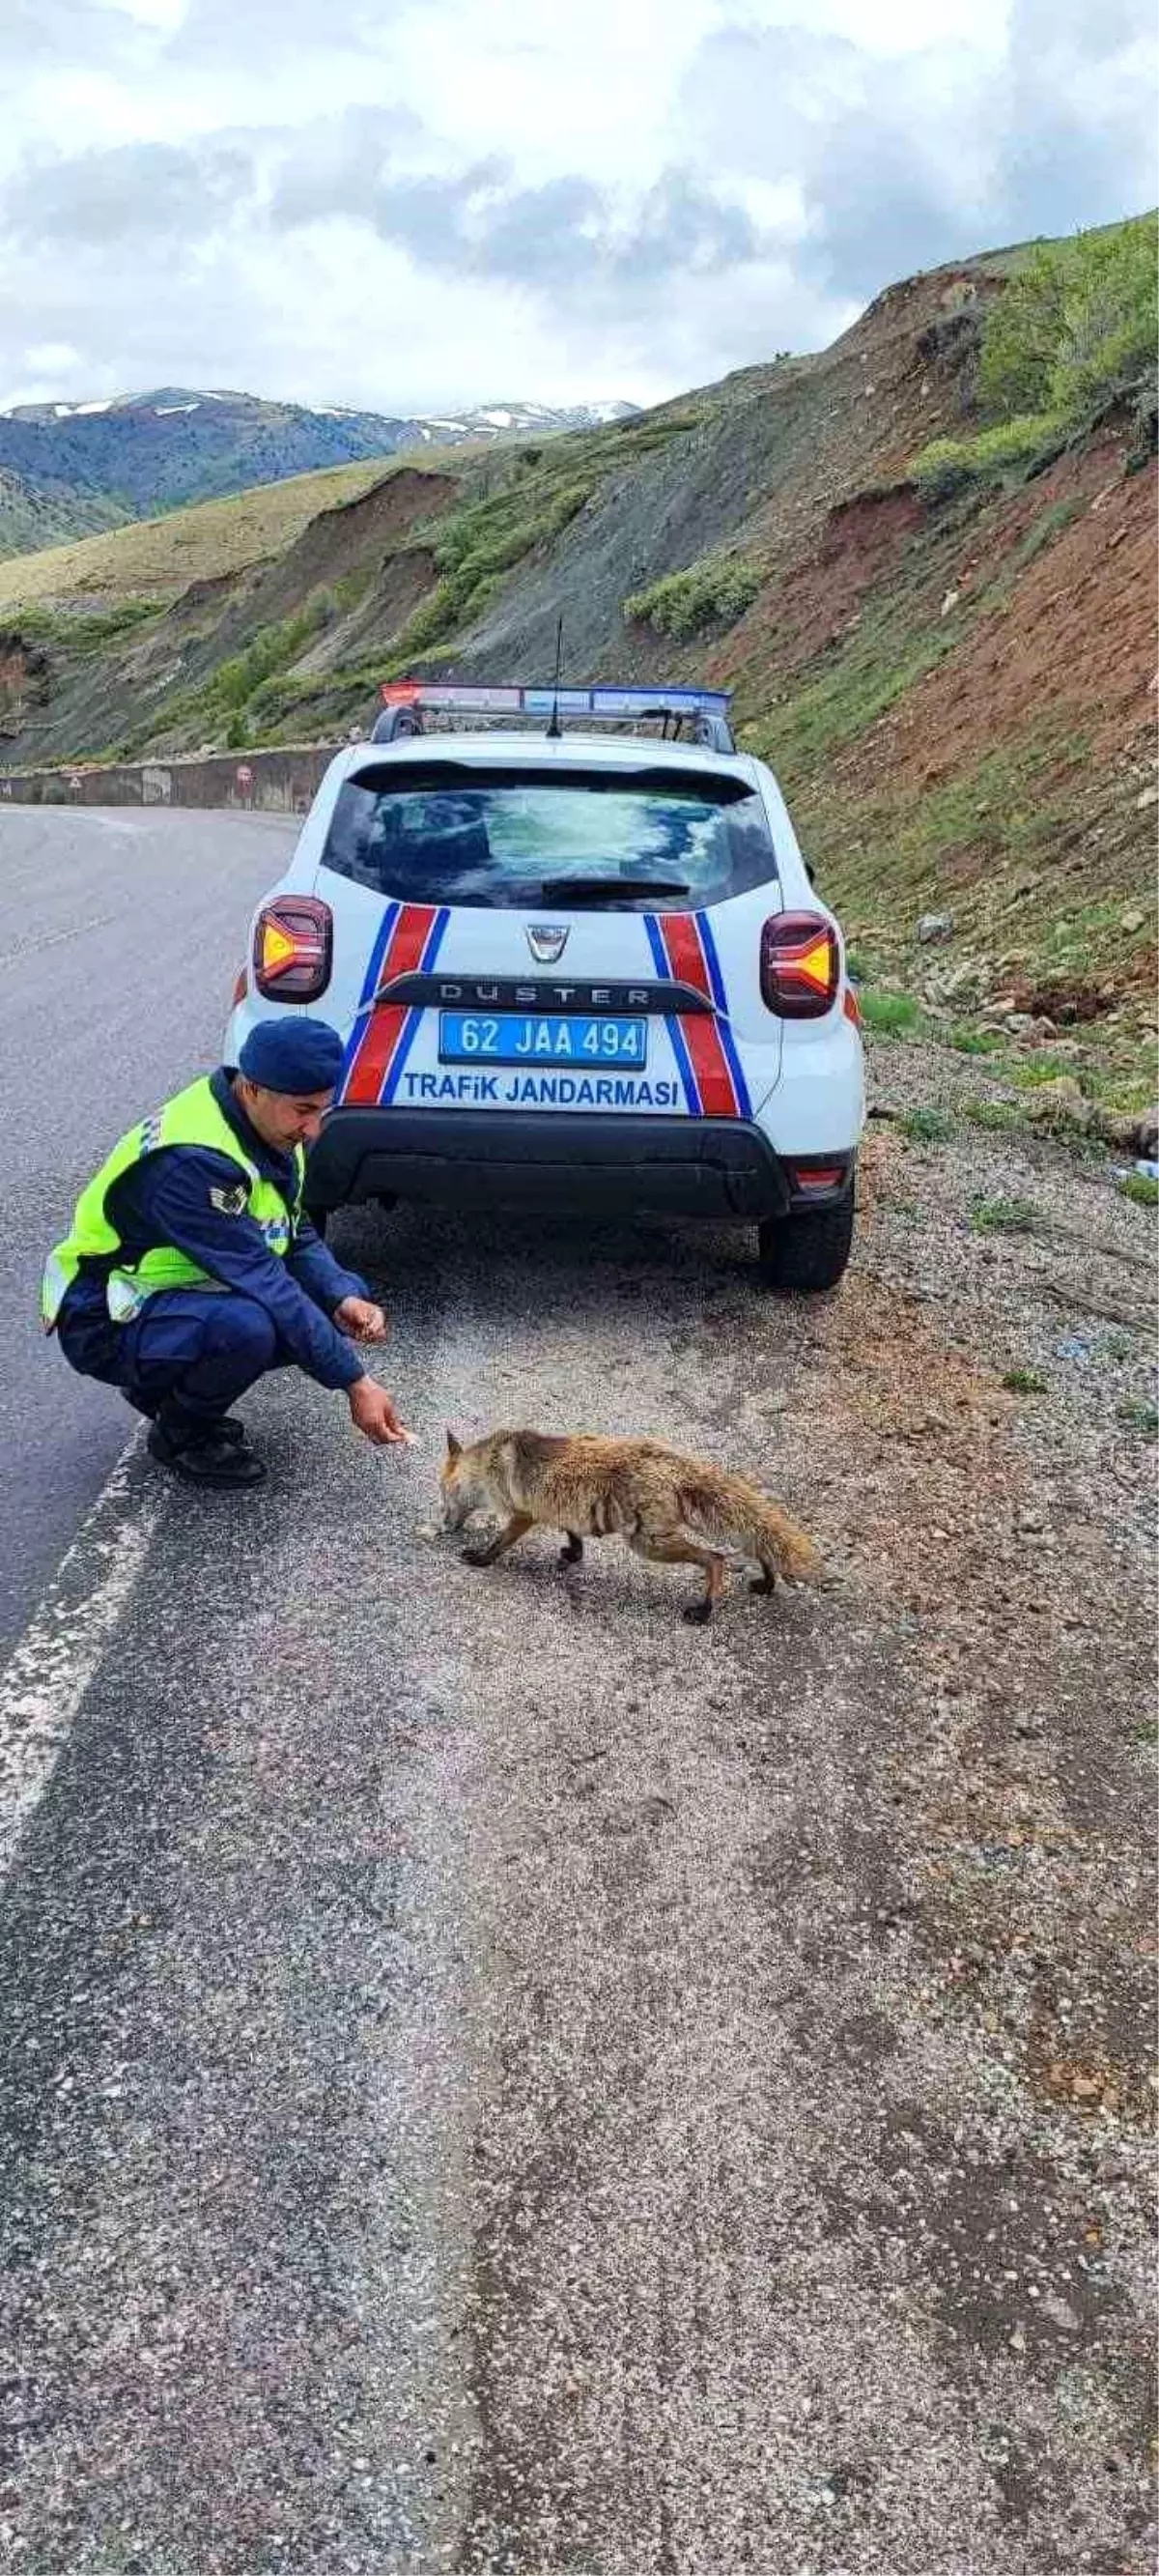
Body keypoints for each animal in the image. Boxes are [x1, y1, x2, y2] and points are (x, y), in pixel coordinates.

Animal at [438, 1432, 824, 1627]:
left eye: (442, 1493)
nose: (443, 1525)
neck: (489, 1465)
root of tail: (673, 1460)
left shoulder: (523, 1514)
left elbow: (499, 1543)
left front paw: (480, 1558)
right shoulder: (561, 1509)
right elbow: (573, 1534)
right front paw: (573, 1554)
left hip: (648, 1543)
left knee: (715, 1558)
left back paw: (705, 1609)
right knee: (756, 1546)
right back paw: (768, 1581)